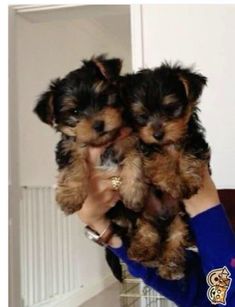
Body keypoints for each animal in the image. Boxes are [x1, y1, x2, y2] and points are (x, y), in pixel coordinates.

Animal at [33, 56, 147, 217]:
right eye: (74, 111)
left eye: (103, 98)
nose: (99, 125)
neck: (103, 143)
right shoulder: (69, 145)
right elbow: (72, 166)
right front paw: (70, 197)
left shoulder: (131, 138)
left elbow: (135, 159)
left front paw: (133, 193)